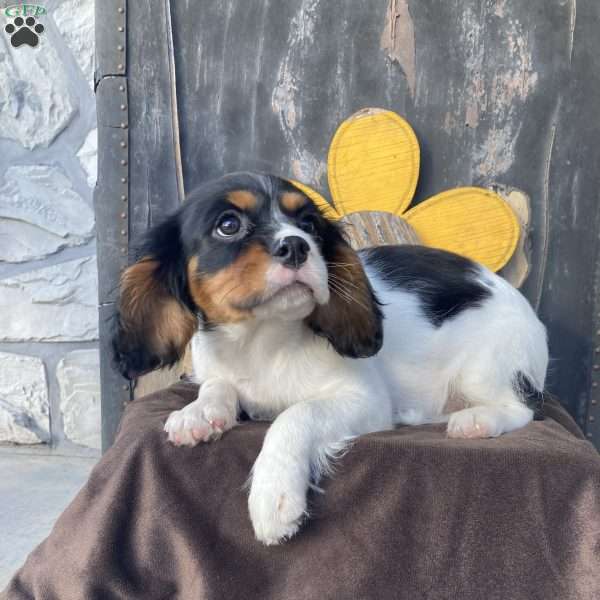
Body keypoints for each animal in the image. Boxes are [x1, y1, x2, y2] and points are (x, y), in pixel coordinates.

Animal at [111, 171, 548, 548]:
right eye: (228, 225)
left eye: (309, 224)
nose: (297, 245)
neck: (262, 339)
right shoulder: (220, 370)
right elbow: (218, 385)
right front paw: (197, 413)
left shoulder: (363, 398)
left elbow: (296, 415)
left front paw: (274, 495)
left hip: (487, 364)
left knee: (522, 408)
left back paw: (476, 421)